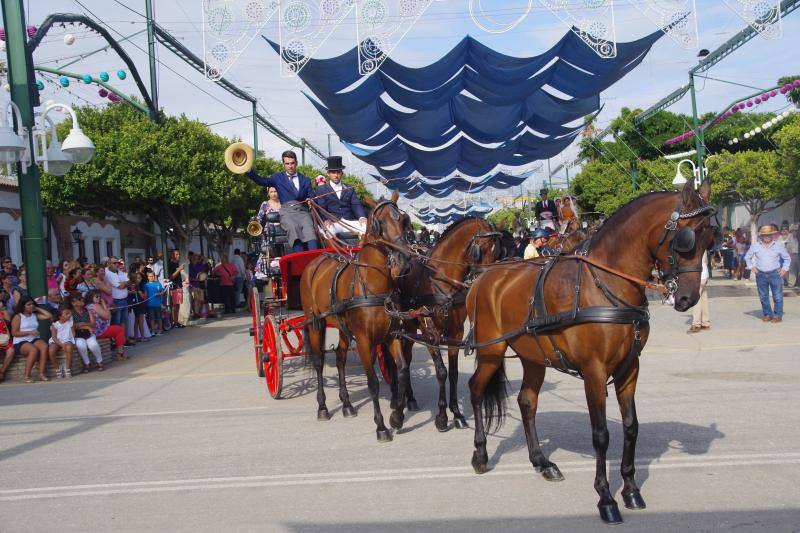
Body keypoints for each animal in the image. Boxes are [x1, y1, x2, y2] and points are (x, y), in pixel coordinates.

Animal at [300, 191, 412, 440]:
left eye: (403, 220)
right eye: (380, 223)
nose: (403, 260)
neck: (373, 284)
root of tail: (315, 262)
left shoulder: (392, 335)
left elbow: (401, 371)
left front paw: (397, 417)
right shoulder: (363, 340)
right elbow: (373, 383)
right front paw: (381, 426)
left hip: (342, 327)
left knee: (340, 359)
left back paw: (347, 404)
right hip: (315, 323)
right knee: (319, 362)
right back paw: (322, 407)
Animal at [396, 218, 504, 430]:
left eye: (497, 251)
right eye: (479, 250)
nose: (487, 281)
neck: (441, 282)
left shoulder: (456, 332)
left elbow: (453, 373)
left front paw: (456, 413)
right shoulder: (430, 332)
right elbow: (441, 372)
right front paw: (441, 416)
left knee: (408, 358)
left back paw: (409, 399)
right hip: (408, 325)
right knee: (404, 359)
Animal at [462, 181, 712, 520]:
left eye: (711, 237)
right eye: (686, 240)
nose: (688, 298)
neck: (606, 284)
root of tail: (484, 276)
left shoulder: (630, 368)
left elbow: (631, 427)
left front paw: (630, 489)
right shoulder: (594, 371)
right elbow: (601, 434)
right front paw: (605, 497)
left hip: (533, 356)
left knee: (527, 401)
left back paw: (542, 461)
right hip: (492, 351)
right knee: (476, 389)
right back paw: (480, 453)